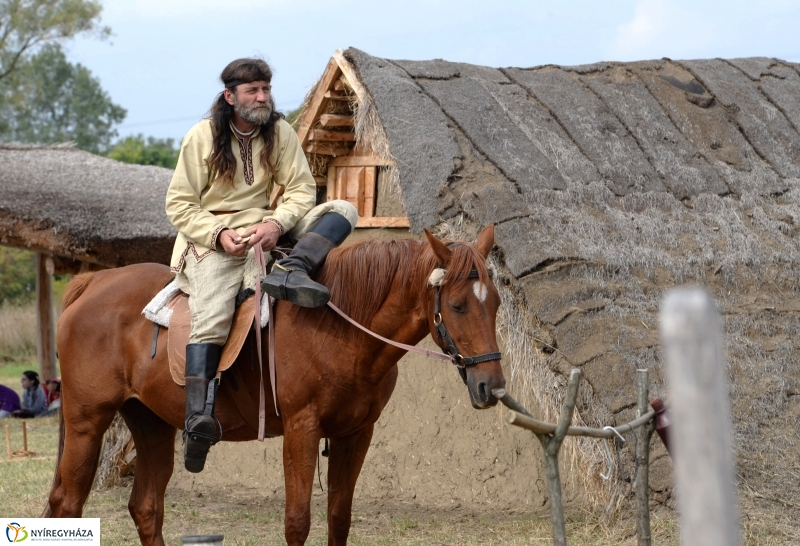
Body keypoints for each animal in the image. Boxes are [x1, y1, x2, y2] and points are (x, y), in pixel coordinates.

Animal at [43, 224, 504, 540]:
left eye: (496, 303)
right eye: (458, 305)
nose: (493, 387)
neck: (341, 327)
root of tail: (94, 281)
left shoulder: (356, 434)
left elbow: (339, 518)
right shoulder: (301, 429)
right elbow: (297, 521)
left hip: (151, 424)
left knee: (146, 508)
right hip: (87, 423)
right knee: (68, 505)